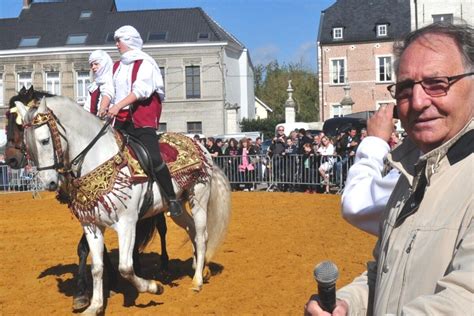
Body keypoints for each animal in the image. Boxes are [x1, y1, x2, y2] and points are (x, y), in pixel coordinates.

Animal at [17, 97, 232, 316]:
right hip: (176, 208)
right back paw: (200, 267)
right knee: (191, 230)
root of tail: (200, 146)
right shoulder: (91, 225)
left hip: (198, 198)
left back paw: (197, 281)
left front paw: (154, 287)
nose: (50, 183)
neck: (98, 160)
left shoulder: (127, 223)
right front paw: (94, 306)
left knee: (201, 235)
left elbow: (126, 268)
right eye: (27, 146)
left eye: (45, 140)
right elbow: (97, 267)